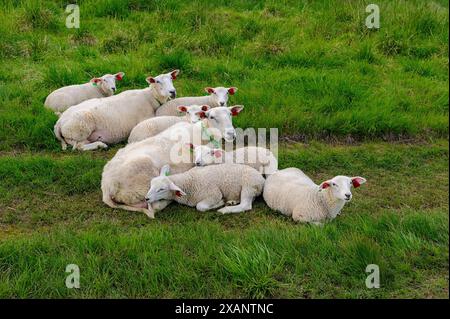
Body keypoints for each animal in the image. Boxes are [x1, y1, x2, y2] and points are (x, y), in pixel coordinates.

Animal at [100, 105, 244, 218]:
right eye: (212, 117)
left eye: (230, 114)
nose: (231, 134)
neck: (203, 131)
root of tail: (107, 186)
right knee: (155, 206)